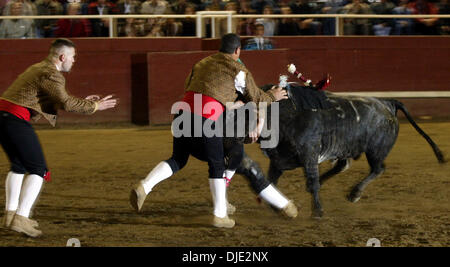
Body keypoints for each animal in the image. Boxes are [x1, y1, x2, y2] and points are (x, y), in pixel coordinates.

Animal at [223, 83, 444, 218]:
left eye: (241, 113)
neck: (282, 115)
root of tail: (387, 103)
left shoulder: (309, 155)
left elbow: (312, 182)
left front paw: (318, 212)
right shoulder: (278, 159)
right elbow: (271, 181)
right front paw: (276, 206)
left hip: (375, 150)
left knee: (377, 169)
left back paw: (354, 193)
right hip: (346, 147)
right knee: (343, 166)